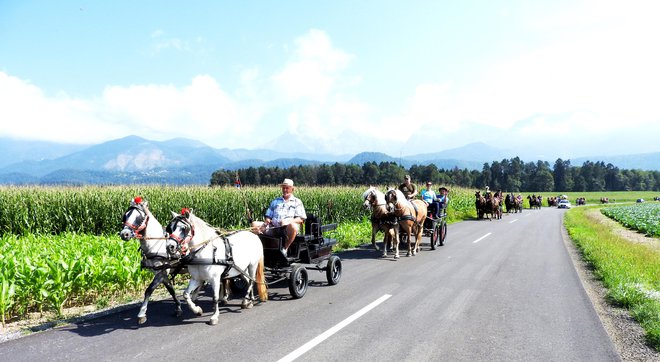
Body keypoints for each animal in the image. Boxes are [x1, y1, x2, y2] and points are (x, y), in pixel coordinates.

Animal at [118, 198, 183, 326]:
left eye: (139, 217)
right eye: (125, 215)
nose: (124, 234)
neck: (158, 243)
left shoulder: (161, 272)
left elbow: (148, 290)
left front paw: (141, 314)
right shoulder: (161, 273)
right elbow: (171, 290)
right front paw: (178, 308)